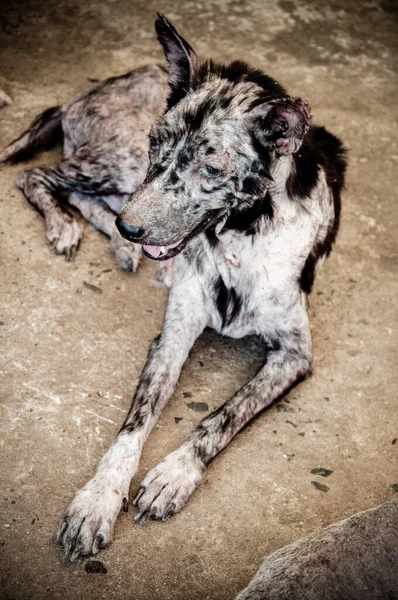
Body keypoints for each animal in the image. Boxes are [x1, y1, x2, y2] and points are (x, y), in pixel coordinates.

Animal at [3, 14, 346, 560]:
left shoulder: (295, 354)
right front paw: (99, 498)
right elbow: (135, 423)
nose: (132, 229)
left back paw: (114, 245)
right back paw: (74, 229)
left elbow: (224, 416)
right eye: (157, 144)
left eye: (211, 169)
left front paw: (175, 474)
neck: (237, 237)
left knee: (79, 194)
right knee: (40, 176)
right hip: (121, 164)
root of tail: (100, 84)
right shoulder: (175, 331)